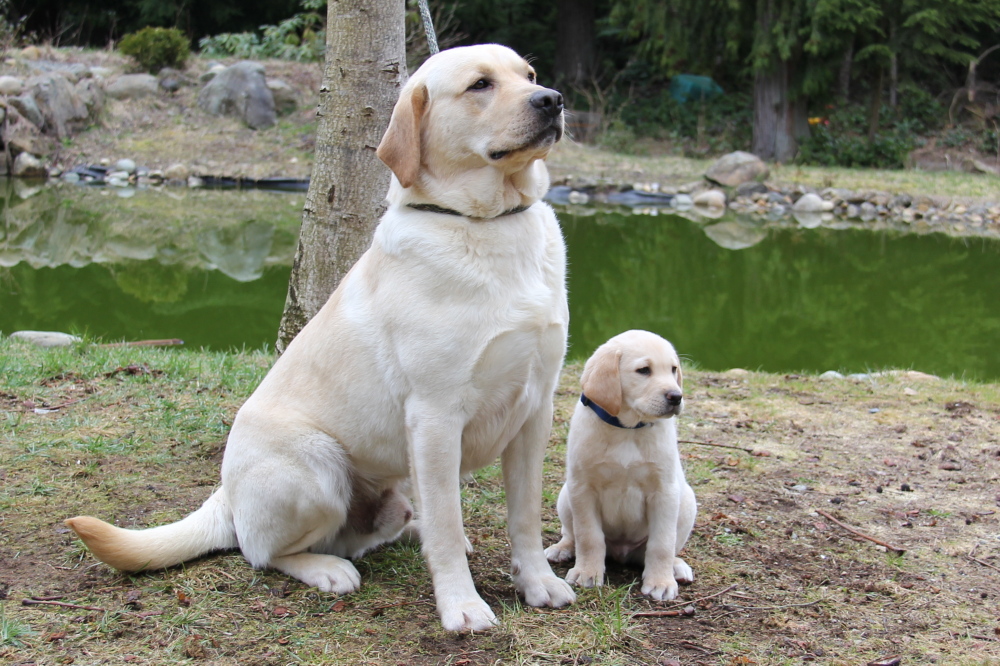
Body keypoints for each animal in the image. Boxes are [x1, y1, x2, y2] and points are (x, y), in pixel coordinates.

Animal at [66, 44, 576, 632]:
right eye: (480, 85)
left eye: (529, 75)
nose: (552, 100)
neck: (489, 223)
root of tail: (225, 495)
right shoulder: (436, 415)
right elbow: (448, 526)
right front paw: (462, 606)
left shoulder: (534, 410)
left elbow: (524, 518)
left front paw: (538, 582)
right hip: (317, 470)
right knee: (264, 551)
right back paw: (328, 570)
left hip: (393, 485)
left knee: (386, 526)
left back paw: (408, 532)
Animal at [548, 330, 696, 600]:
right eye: (644, 370)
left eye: (673, 369)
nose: (676, 396)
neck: (628, 429)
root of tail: (621, 552)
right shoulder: (583, 488)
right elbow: (588, 536)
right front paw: (587, 573)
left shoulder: (664, 491)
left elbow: (662, 543)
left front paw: (660, 582)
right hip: (566, 495)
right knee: (571, 533)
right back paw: (562, 548)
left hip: (686, 501)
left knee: (667, 548)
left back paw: (676, 567)